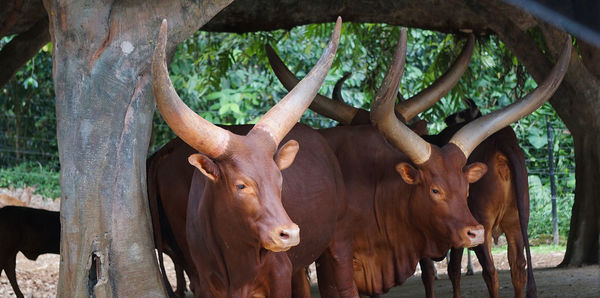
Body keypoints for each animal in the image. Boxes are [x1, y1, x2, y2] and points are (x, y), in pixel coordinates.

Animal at [148, 18, 358, 298]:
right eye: (241, 185)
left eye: (280, 182)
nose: (289, 234)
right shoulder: (204, 282)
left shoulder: (279, 276)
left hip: (339, 238)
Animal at [418, 99, 540, 298]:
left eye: (462, 112)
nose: (448, 118)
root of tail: (501, 140)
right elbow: (451, 269)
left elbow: (432, 272)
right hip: (516, 220)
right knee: (518, 266)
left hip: (482, 223)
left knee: (490, 270)